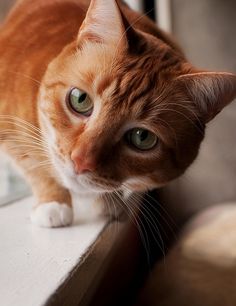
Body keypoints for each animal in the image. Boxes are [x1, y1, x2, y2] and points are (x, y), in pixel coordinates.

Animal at [0, 0, 236, 226]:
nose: (80, 161)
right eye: (80, 100)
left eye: (142, 137)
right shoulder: (8, 130)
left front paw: (109, 200)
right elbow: (32, 165)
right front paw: (53, 202)